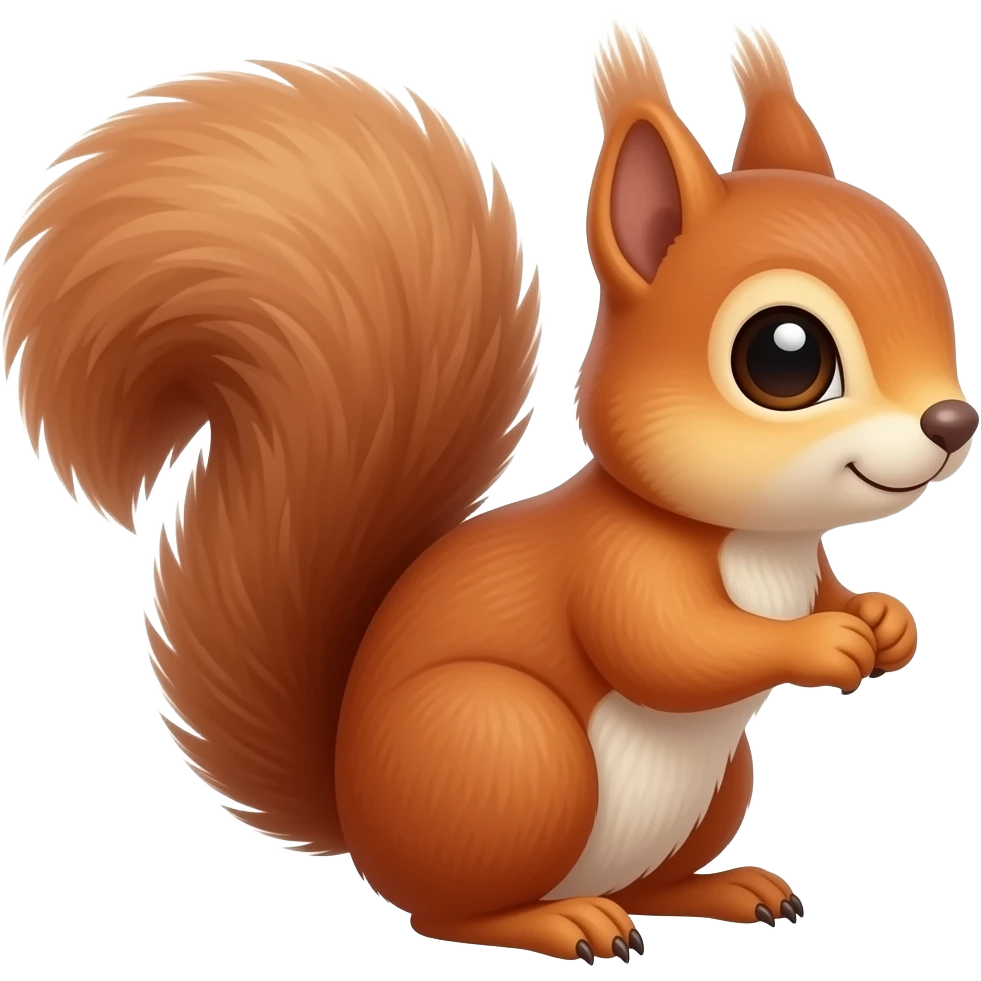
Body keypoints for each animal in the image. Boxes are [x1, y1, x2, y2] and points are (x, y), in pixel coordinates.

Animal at [2, 16, 975, 964]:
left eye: (937, 293)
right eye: (783, 357)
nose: (952, 421)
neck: (757, 537)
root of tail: (360, 826)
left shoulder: (800, 560)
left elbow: (822, 591)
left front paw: (884, 621)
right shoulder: (614, 565)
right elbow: (669, 648)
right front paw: (823, 642)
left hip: (717, 782)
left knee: (647, 884)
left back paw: (720, 889)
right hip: (506, 748)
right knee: (452, 912)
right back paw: (562, 922)